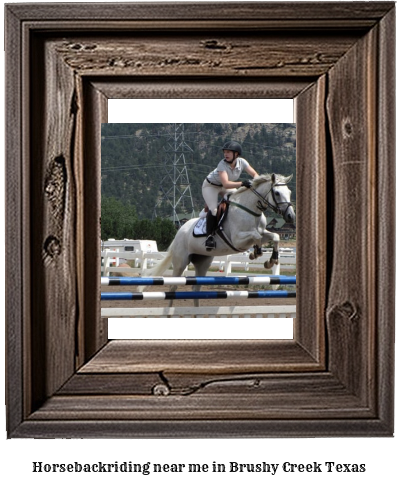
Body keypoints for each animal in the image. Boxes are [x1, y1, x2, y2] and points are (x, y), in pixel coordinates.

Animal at [140, 173, 294, 306]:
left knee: (195, 290)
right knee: (173, 288)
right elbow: (256, 237)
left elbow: (275, 236)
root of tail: (179, 231)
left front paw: (271, 260)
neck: (251, 210)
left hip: (203, 262)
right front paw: (255, 253)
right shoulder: (238, 240)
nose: (291, 216)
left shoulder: (263, 233)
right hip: (180, 262)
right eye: (277, 193)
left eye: (289, 191)